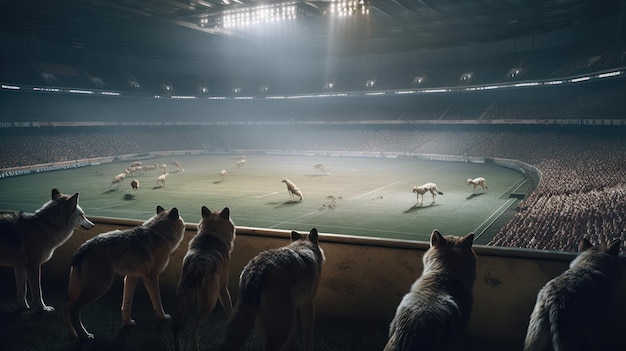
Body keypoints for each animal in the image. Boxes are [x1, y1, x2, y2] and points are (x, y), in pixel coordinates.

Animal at [64, 206, 185, 340]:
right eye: (182, 223)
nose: (185, 226)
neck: (159, 234)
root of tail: (84, 246)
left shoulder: (131, 277)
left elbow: (126, 304)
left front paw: (128, 323)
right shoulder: (151, 277)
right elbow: (158, 302)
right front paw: (163, 317)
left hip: (80, 289)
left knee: (66, 305)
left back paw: (73, 334)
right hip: (100, 288)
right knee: (73, 309)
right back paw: (84, 335)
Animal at [171, 206, 236, 351]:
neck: (211, 234)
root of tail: (197, 265)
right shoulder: (223, 288)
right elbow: (229, 310)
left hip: (182, 298)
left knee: (176, 326)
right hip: (210, 302)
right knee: (192, 326)